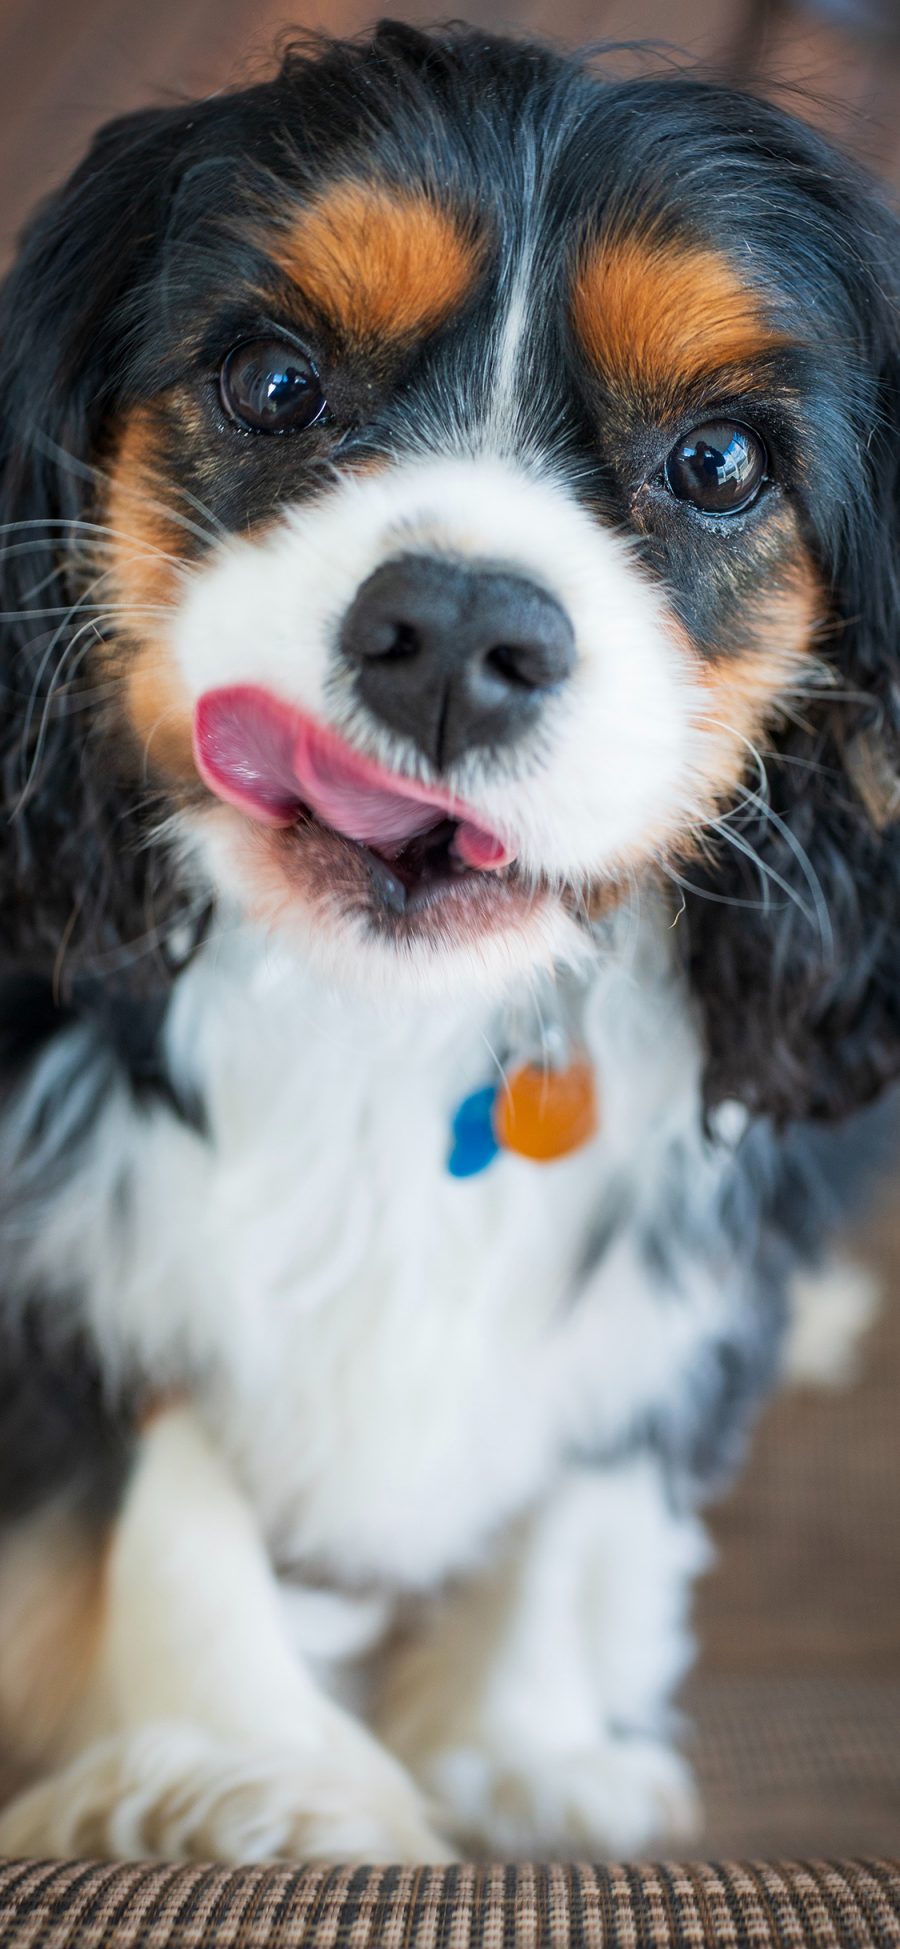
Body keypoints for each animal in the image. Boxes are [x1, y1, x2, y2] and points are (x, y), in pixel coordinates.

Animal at [0, 19, 896, 1855]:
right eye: (275, 382)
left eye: (721, 462)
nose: (461, 631)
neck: (391, 1013)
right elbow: (156, 1462)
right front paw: (253, 1766)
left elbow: (601, 1453)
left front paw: (522, 1740)